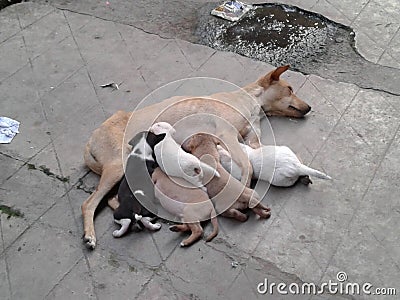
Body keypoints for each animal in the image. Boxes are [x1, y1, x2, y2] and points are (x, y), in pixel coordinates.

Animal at [82, 65, 312, 248]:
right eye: (290, 89)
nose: (309, 107)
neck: (251, 102)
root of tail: (90, 140)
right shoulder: (226, 134)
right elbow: (247, 165)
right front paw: (243, 190)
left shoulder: (250, 141)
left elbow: (260, 156)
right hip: (117, 165)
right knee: (90, 203)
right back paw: (90, 235)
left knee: (112, 199)